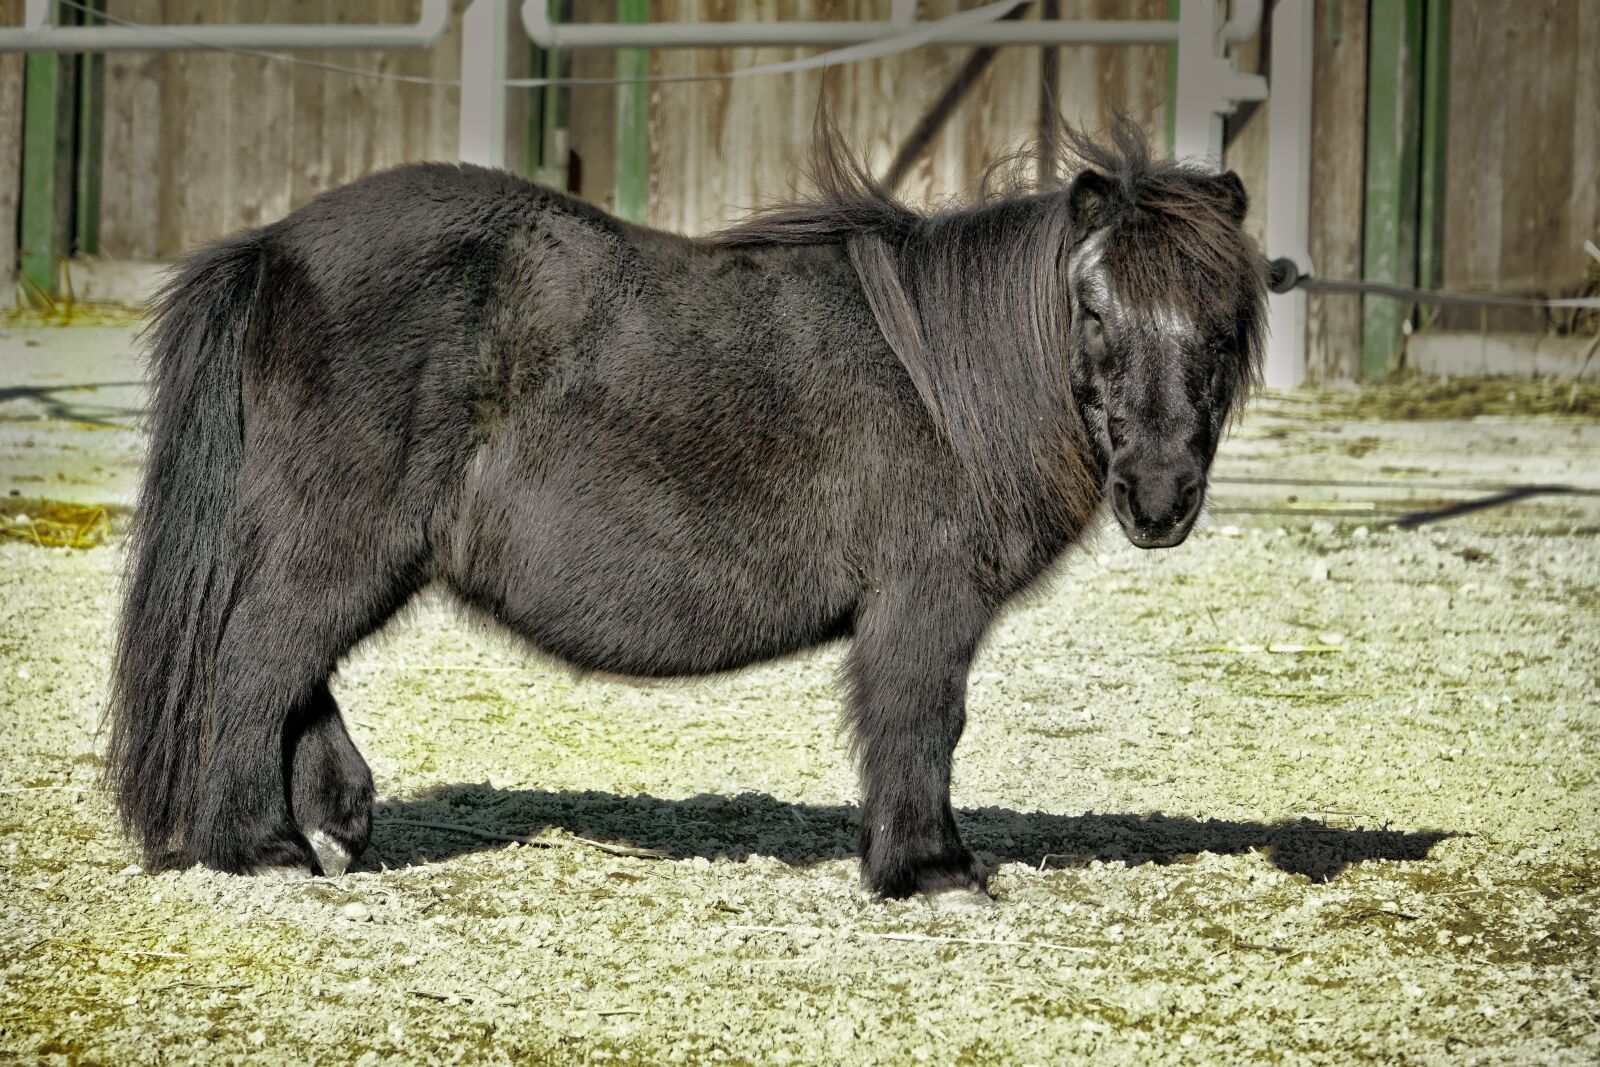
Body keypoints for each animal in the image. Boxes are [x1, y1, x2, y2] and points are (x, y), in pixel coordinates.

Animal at [107, 115, 1266, 903]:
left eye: (1222, 321)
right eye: (1093, 309)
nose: (1160, 495)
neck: (948, 376)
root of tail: (274, 245)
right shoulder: (924, 600)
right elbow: (922, 721)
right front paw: (930, 868)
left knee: (291, 668)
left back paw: (337, 819)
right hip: (341, 539)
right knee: (256, 661)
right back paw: (261, 848)